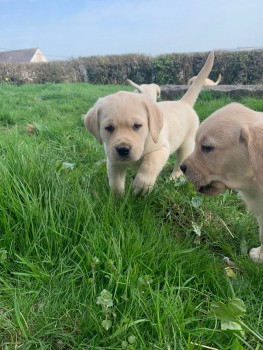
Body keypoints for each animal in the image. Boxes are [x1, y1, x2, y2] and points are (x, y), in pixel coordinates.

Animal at [85, 51, 216, 196]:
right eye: (108, 128)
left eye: (137, 126)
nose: (123, 150)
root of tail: (183, 102)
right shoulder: (113, 160)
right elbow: (115, 181)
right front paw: (117, 197)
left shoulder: (161, 149)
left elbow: (149, 164)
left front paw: (142, 186)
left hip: (187, 144)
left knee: (180, 163)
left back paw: (174, 177)